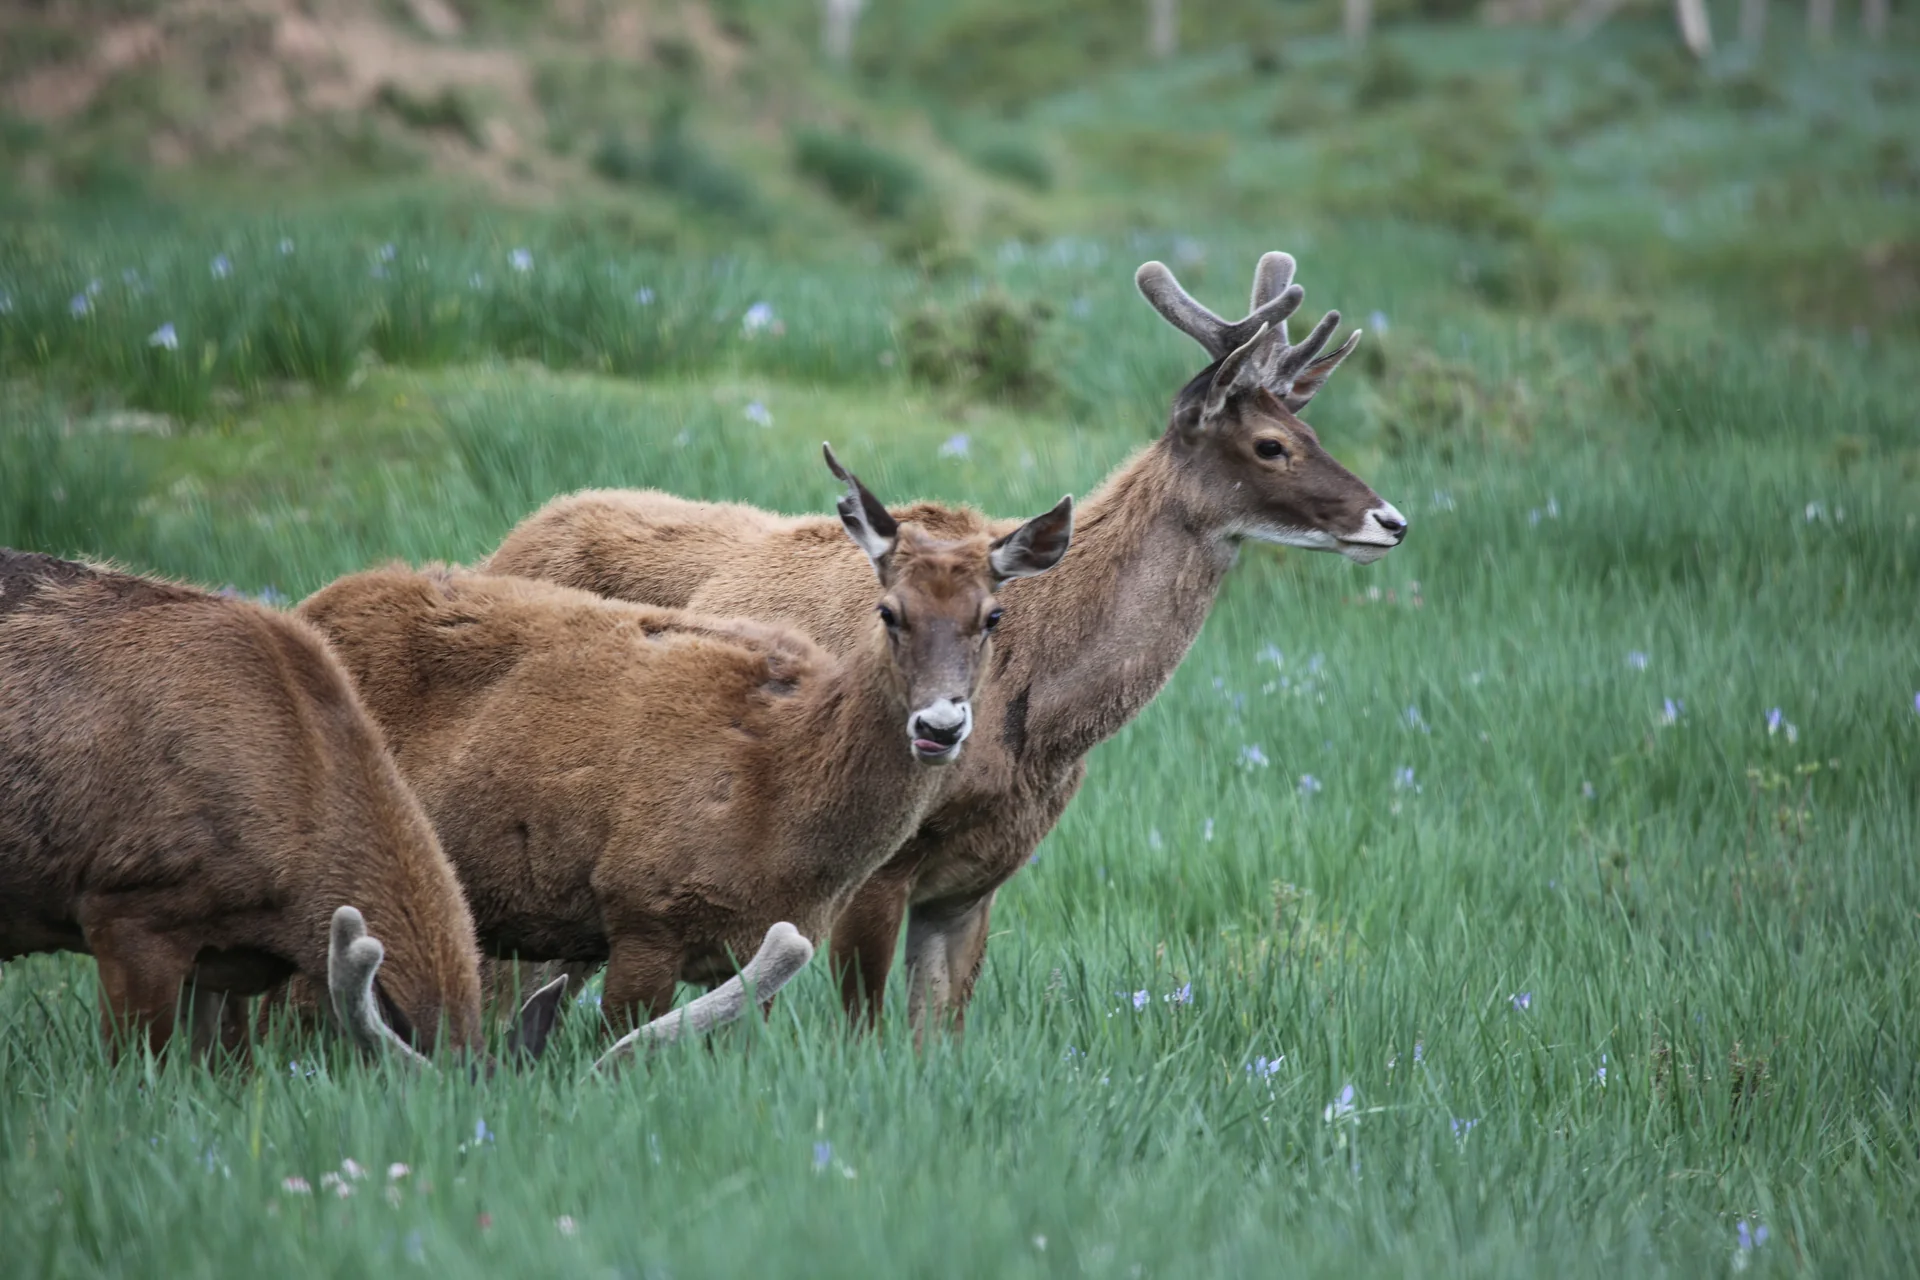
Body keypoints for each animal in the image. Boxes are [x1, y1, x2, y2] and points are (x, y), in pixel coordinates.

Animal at [294, 446, 1073, 1036]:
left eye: (994, 616)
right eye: (889, 611)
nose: (939, 725)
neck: (776, 803)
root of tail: (310, 602)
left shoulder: (758, 949)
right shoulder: (642, 910)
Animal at [484, 251, 1406, 1037]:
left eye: (1312, 433)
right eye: (1270, 446)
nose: (1391, 520)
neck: (1040, 723)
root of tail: (509, 537)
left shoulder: (975, 883)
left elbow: (936, 1038)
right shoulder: (877, 872)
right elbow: (863, 1032)